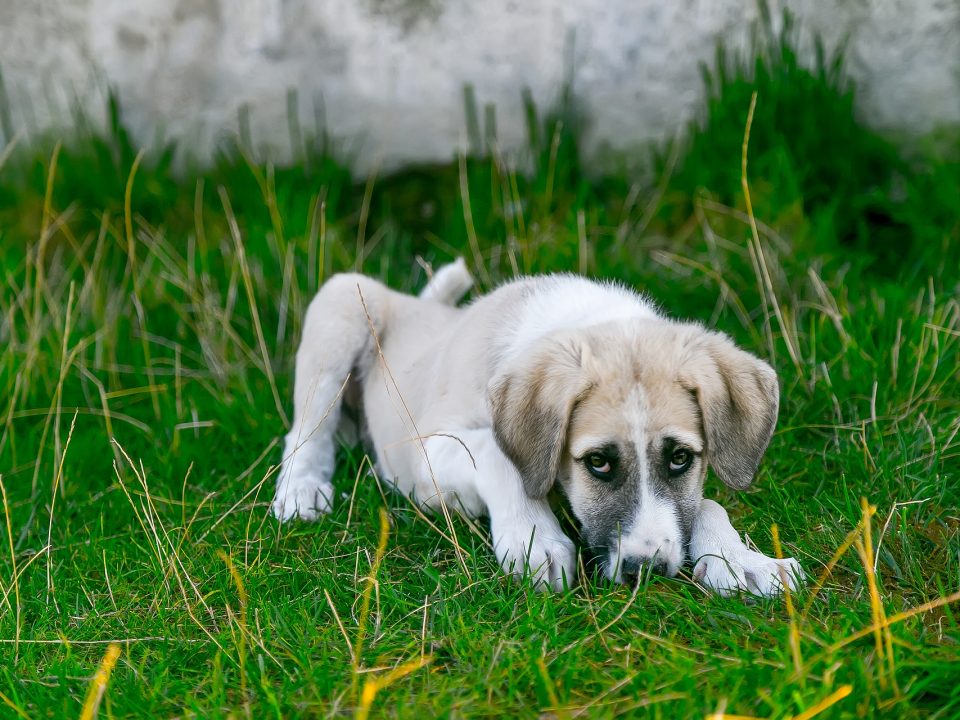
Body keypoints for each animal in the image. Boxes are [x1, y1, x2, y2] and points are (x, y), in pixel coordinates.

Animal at [274, 260, 808, 596]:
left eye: (680, 458)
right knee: (305, 429)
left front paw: (741, 559)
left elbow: (707, 504)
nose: (647, 571)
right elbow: (497, 455)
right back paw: (302, 489)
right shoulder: (426, 452)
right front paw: (534, 538)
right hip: (342, 303)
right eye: (598, 462)